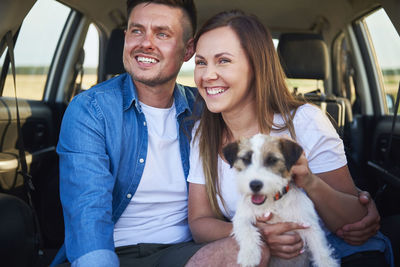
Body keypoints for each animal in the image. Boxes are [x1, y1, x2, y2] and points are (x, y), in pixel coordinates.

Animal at [222, 135, 338, 267]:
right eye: (246, 159)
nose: (255, 185)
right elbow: (246, 229)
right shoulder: (241, 217)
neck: (273, 202)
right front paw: (249, 255)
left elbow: (322, 253)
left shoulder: (310, 225)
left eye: (272, 160)